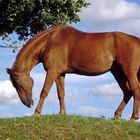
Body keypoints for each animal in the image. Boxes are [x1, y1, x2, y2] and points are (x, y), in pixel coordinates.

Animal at [6, 24, 140, 120]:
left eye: (19, 84)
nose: (28, 103)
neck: (50, 41)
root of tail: (137, 40)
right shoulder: (60, 74)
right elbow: (61, 94)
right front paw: (62, 113)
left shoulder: (52, 71)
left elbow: (44, 92)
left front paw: (36, 113)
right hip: (118, 72)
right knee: (127, 92)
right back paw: (117, 115)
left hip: (129, 72)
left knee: (135, 89)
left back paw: (133, 118)